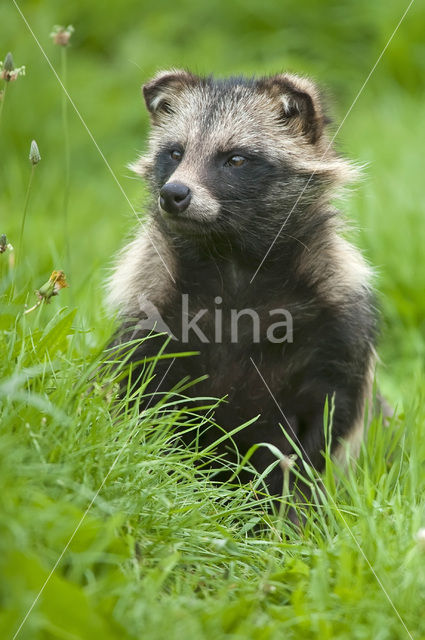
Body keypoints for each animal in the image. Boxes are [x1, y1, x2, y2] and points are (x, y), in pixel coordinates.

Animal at [107, 69, 376, 504]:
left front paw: (291, 504)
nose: (174, 194)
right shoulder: (154, 306)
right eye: (175, 153)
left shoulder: (334, 317)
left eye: (235, 158)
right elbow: (144, 396)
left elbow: (325, 421)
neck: (233, 259)